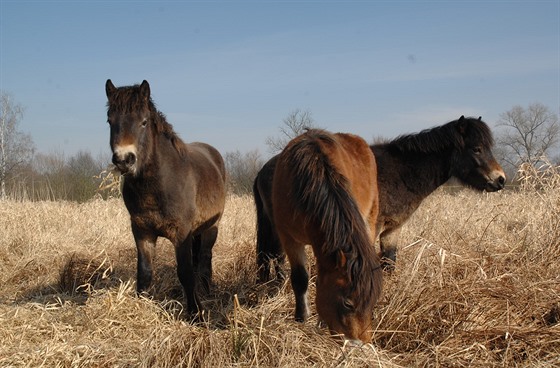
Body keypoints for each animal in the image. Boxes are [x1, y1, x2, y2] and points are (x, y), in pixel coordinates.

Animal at [105, 80, 228, 314]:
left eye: (144, 122)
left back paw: (207, 291)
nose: (124, 160)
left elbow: (185, 272)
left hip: (211, 227)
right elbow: (144, 273)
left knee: (205, 259)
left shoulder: (181, 233)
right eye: (110, 121)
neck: (159, 183)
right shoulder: (142, 232)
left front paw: (196, 312)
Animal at [256, 115, 506, 282]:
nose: (500, 179)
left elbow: (389, 261)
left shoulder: (392, 230)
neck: (400, 172)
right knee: (278, 259)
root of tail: (264, 169)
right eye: (476, 149)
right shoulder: (370, 227)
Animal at [272, 129, 384, 342]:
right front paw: (301, 319)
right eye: (347, 303)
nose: (360, 345)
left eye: (372, 303)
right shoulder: (289, 238)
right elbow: (300, 278)